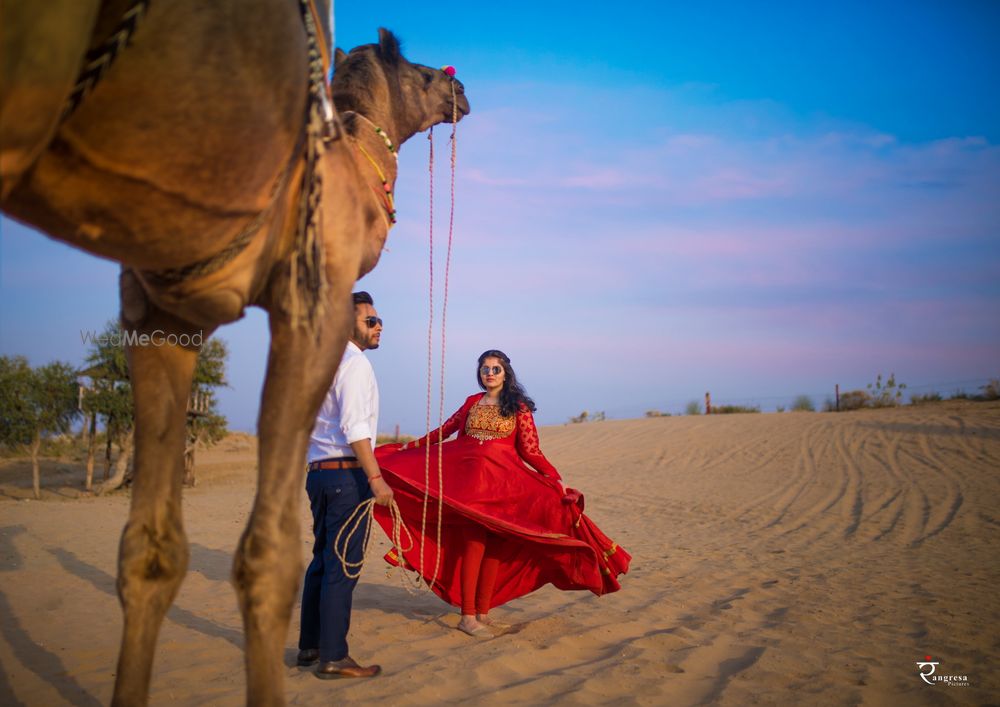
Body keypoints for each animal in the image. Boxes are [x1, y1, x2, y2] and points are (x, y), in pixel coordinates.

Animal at [0, 2, 468, 704]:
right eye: (422, 72)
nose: (462, 92)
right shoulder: (312, 296)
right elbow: (271, 556)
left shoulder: (158, 315)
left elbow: (148, 552)